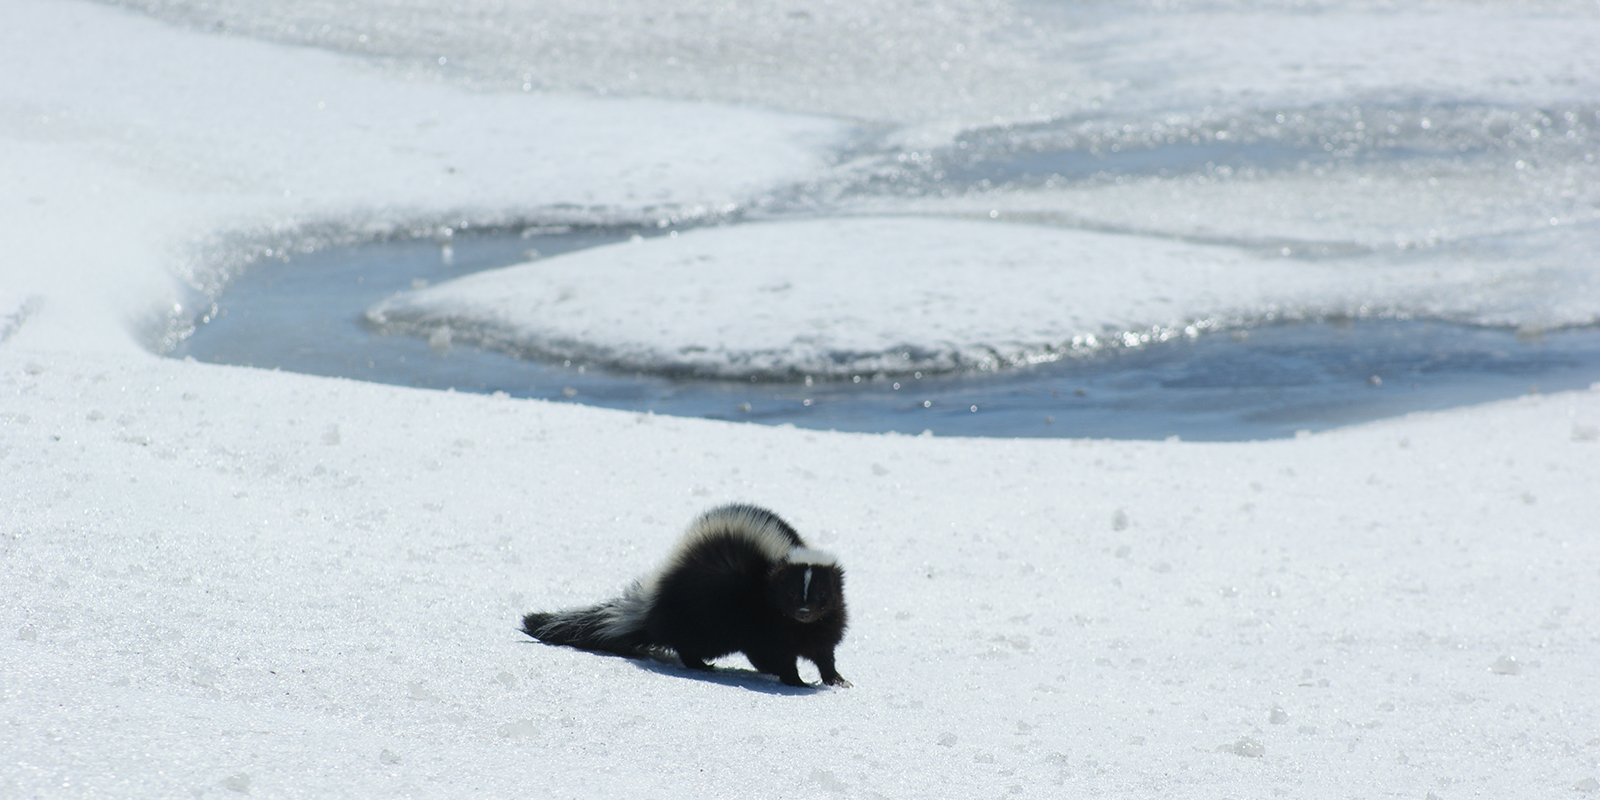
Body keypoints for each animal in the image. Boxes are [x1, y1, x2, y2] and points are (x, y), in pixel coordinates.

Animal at [521, 505, 851, 688]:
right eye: (791, 592)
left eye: (822, 594)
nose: (805, 611)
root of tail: (652, 603)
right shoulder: (766, 622)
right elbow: (778, 655)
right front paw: (797, 681)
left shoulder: (823, 626)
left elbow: (824, 653)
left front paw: (836, 679)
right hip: (706, 616)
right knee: (687, 642)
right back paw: (701, 664)